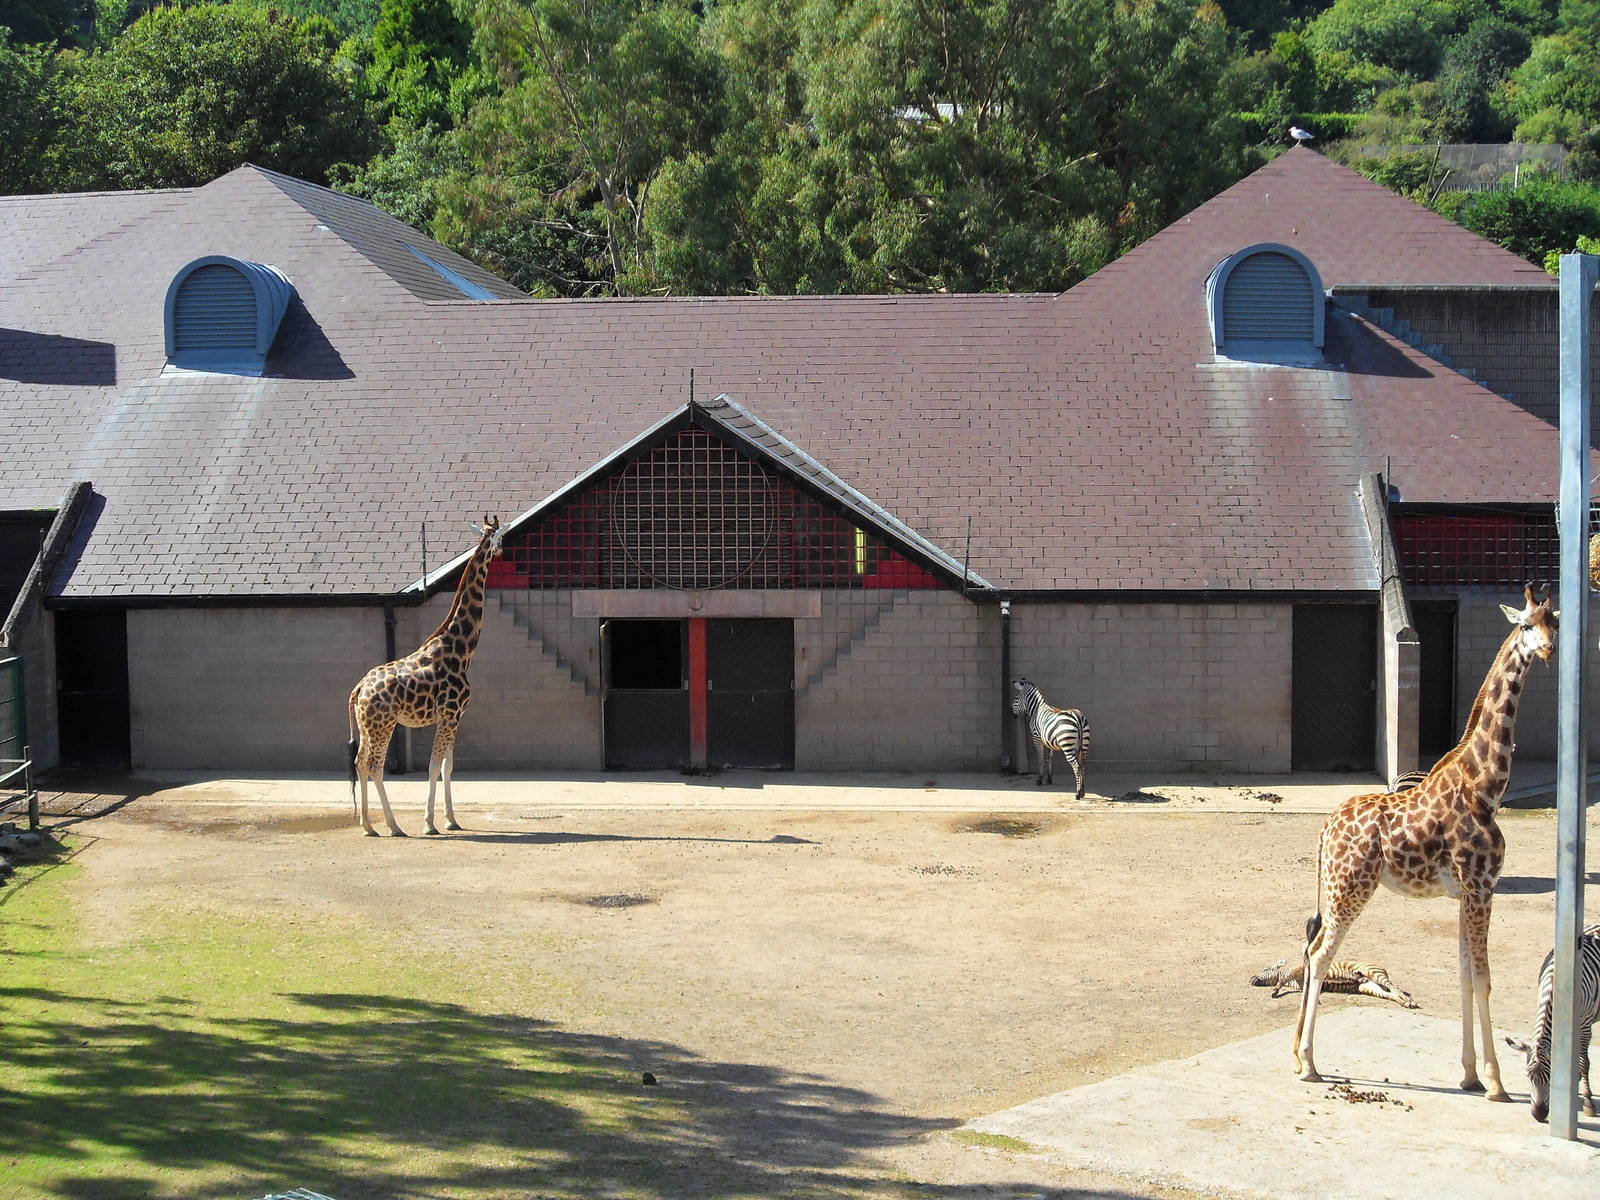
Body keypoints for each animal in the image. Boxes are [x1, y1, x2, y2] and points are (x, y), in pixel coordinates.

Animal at [347, 516, 505, 837]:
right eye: (501, 538)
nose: (502, 552)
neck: (461, 649)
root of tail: (358, 690)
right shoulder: (449, 714)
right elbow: (433, 767)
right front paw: (429, 822)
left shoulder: (455, 717)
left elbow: (447, 767)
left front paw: (451, 819)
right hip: (383, 725)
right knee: (375, 765)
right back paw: (393, 825)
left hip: (368, 726)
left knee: (360, 763)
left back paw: (368, 825)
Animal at [1292, 584, 1558, 1099]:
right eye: (1525, 624)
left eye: (1553, 620)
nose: (1549, 649)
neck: (1485, 787)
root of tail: (1324, 829)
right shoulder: (1481, 888)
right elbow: (1484, 978)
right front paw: (1495, 1082)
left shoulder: (1466, 895)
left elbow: (1464, 975)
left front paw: (1469, 1073)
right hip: (1349, 888)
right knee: (1320, 954)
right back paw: (1310, 1062)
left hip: (1336, 889)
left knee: (1312, 950)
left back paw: (1298, 1055)